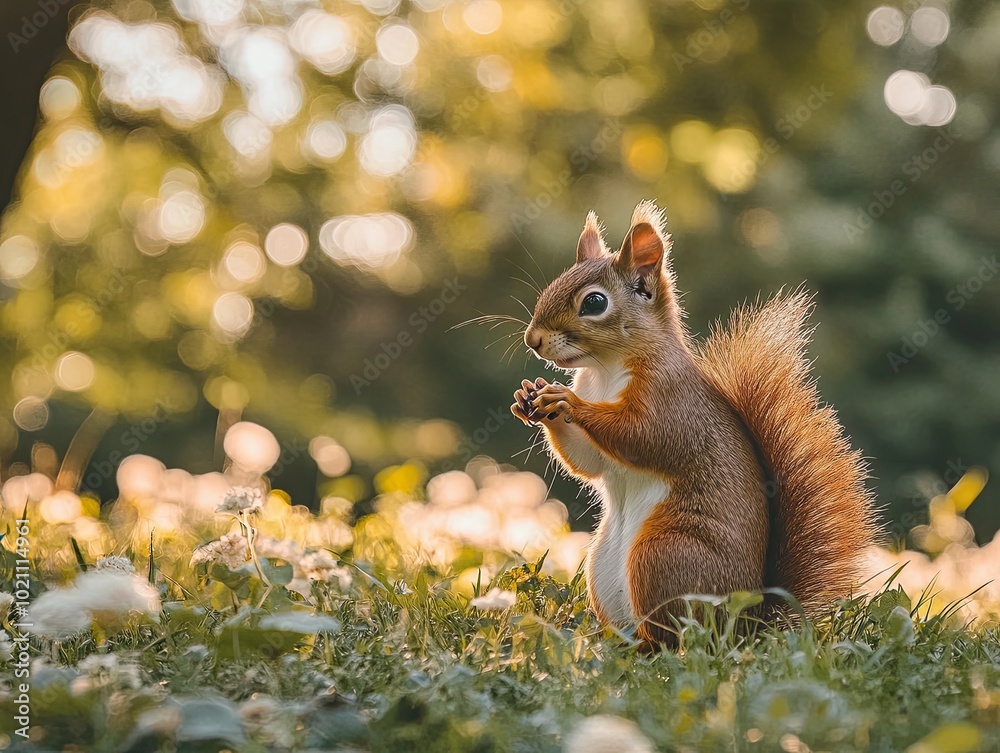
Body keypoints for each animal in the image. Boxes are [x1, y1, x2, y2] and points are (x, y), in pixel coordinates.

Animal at [510, 201, 878, 647]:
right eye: (554, 283)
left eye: (594, 303)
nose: (532, 340)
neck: (603, 370)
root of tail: (746, 626)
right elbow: (588, 462)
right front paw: (529, 397)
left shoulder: (671, 402)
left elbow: (642, 437)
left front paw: (567, 401)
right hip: (603, 564)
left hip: (664, 554)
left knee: (670, 638)